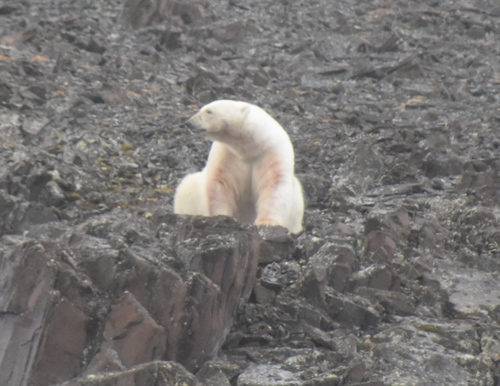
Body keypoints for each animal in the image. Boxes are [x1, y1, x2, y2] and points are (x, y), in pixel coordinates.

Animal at [174, 99, 302, 232]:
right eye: (200, 109)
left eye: (209, 111)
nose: (188, 123)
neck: (249, 149)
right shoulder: (228, 154)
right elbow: (221, 182)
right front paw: (222, 216)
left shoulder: (271, 154)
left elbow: (274, 184)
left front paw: (267, 223)